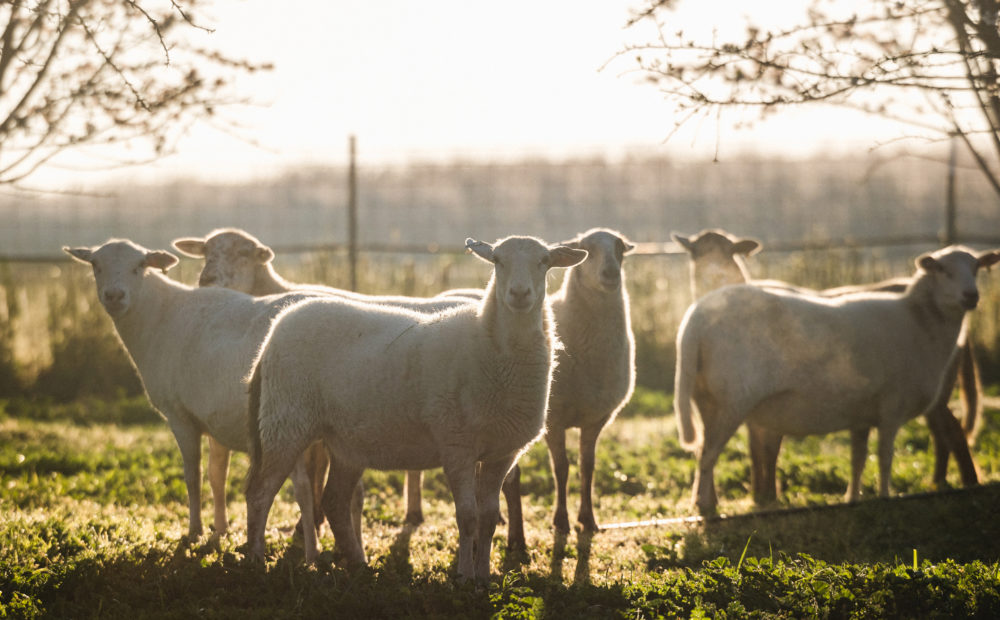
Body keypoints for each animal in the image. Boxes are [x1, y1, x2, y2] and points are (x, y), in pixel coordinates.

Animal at [63, 240, 320, 540]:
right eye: (95, 265)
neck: (158, 316)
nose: (115, 296)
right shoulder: (216, 419)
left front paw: (194, 530)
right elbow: (217, 474)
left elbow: (193, 475)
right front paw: (220, 528)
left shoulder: (180, 415)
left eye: (139, 266)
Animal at [243, 235, 584, 584]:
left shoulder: (503, 452)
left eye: (544, 262)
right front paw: (464, 577)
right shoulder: (456, 445)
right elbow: (468, 517)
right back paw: (255, 560)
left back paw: (358, 564)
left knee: (334, 502)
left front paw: (484, 577)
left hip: (343, 442)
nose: (519, 294)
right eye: (498, 261)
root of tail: (271, 336)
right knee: (260, 493)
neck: (492, 347)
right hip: (285, 422)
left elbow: (489, 518)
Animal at [500, 226, 632, 544]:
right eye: (588, 249)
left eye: (620, 248)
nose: (611, 273)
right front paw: (561, 521)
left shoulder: (596, 418)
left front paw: (588, 519)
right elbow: (561, 468)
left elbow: (587, 466)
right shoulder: (555, 418)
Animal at [676, 245, 996, 516]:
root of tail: (695, 320)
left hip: (707, 398)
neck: (920, 322)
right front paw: (885, 497)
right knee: (708, 455)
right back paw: (705, 508)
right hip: (732, 400)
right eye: (942, 270)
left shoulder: (862, 415)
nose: (971, 296)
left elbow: (858, 459)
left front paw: (852, 498)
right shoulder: (891, 405)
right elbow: (885, 456)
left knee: (704, 451)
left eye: (976, 268)